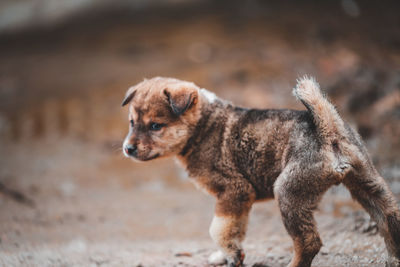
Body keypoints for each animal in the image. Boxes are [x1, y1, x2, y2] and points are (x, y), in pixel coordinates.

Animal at [121, 77, 400, 267]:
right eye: (132, 123)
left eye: (156, 126)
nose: (127, 149)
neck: (202, 126)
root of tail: (328, 130)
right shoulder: (238, 201)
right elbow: (234, 230)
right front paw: (227, 255)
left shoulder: (234, 191)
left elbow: (219, 230)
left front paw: (230, 255)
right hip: (367, 184)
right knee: (388, 218)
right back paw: (394, 258)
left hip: (288, 193)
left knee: (309, 242)